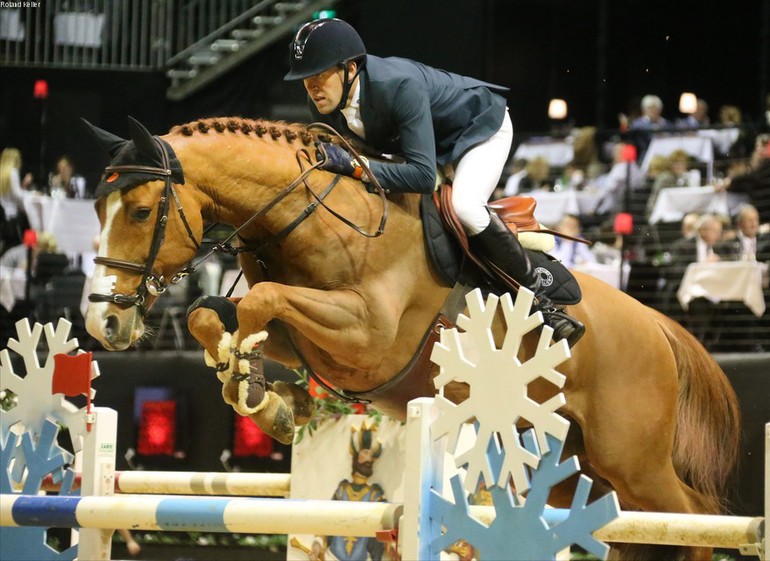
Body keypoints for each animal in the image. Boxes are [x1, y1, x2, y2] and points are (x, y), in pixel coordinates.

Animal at [84, 116, 736, 556]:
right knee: (629, 527)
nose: (102, 324)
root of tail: (658, 325)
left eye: (139, 212)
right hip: (574, 466)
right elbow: (215, 312)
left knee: (694, 519)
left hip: (632, 457)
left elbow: (262, 303)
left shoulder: (365, 337)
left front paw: (251, 384)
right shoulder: (310, 336)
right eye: (97, 212)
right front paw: (265, 398)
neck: (308, 216)